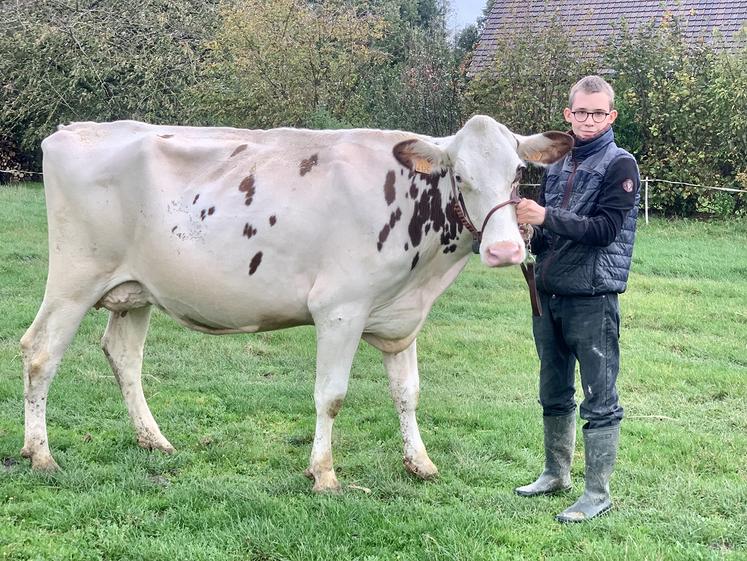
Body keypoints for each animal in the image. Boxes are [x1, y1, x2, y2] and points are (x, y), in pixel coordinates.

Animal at [21, 117, 572, 490]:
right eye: (459, 173)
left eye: (518, 171)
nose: (505, 251)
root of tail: (72, 130)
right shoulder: (340, 309)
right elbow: (331, 396)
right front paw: (324, 474)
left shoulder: (401, 316)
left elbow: (408, 393)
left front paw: (420, 462)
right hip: (74, 278)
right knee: (40, 352)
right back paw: (40, 454)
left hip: (136, 290)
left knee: (124, 355)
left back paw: (152, 439)